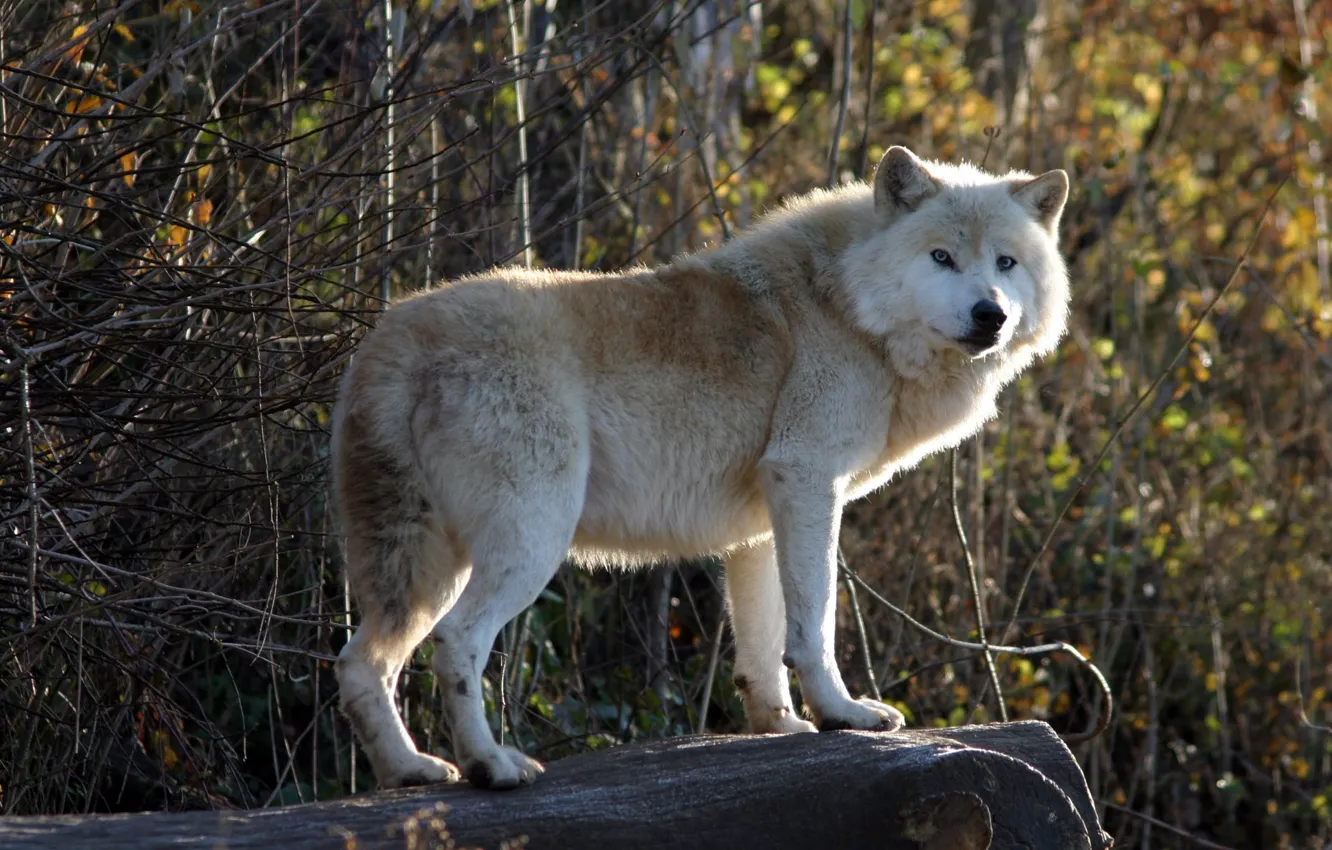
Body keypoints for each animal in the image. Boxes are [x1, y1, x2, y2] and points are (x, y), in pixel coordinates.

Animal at [331, 145, 1070, 791]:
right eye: (941, 257)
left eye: (1005, 262)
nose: (990, 314)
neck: (846, 305)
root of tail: (394, 336)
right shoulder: (807, 481)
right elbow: (815, 624)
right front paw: (844, 714)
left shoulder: (764, 524)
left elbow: (765, 644)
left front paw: (782, 725)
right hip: (527, 545)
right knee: (457, 644)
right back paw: (491, 766)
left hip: (424, 570)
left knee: (359, 665)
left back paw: (410, 770)